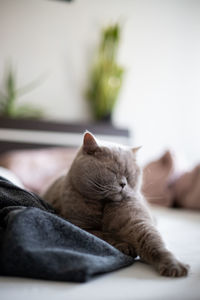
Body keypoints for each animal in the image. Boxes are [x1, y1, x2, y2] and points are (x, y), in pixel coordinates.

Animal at [43, 131, 189, 276]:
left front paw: (174, 265)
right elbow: (104, 236)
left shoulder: (137, 222)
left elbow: (154, 241)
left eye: (129, 175)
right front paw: (125, 246)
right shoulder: (81, 226)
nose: (123, 184)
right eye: (112, 171)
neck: (105, 205)